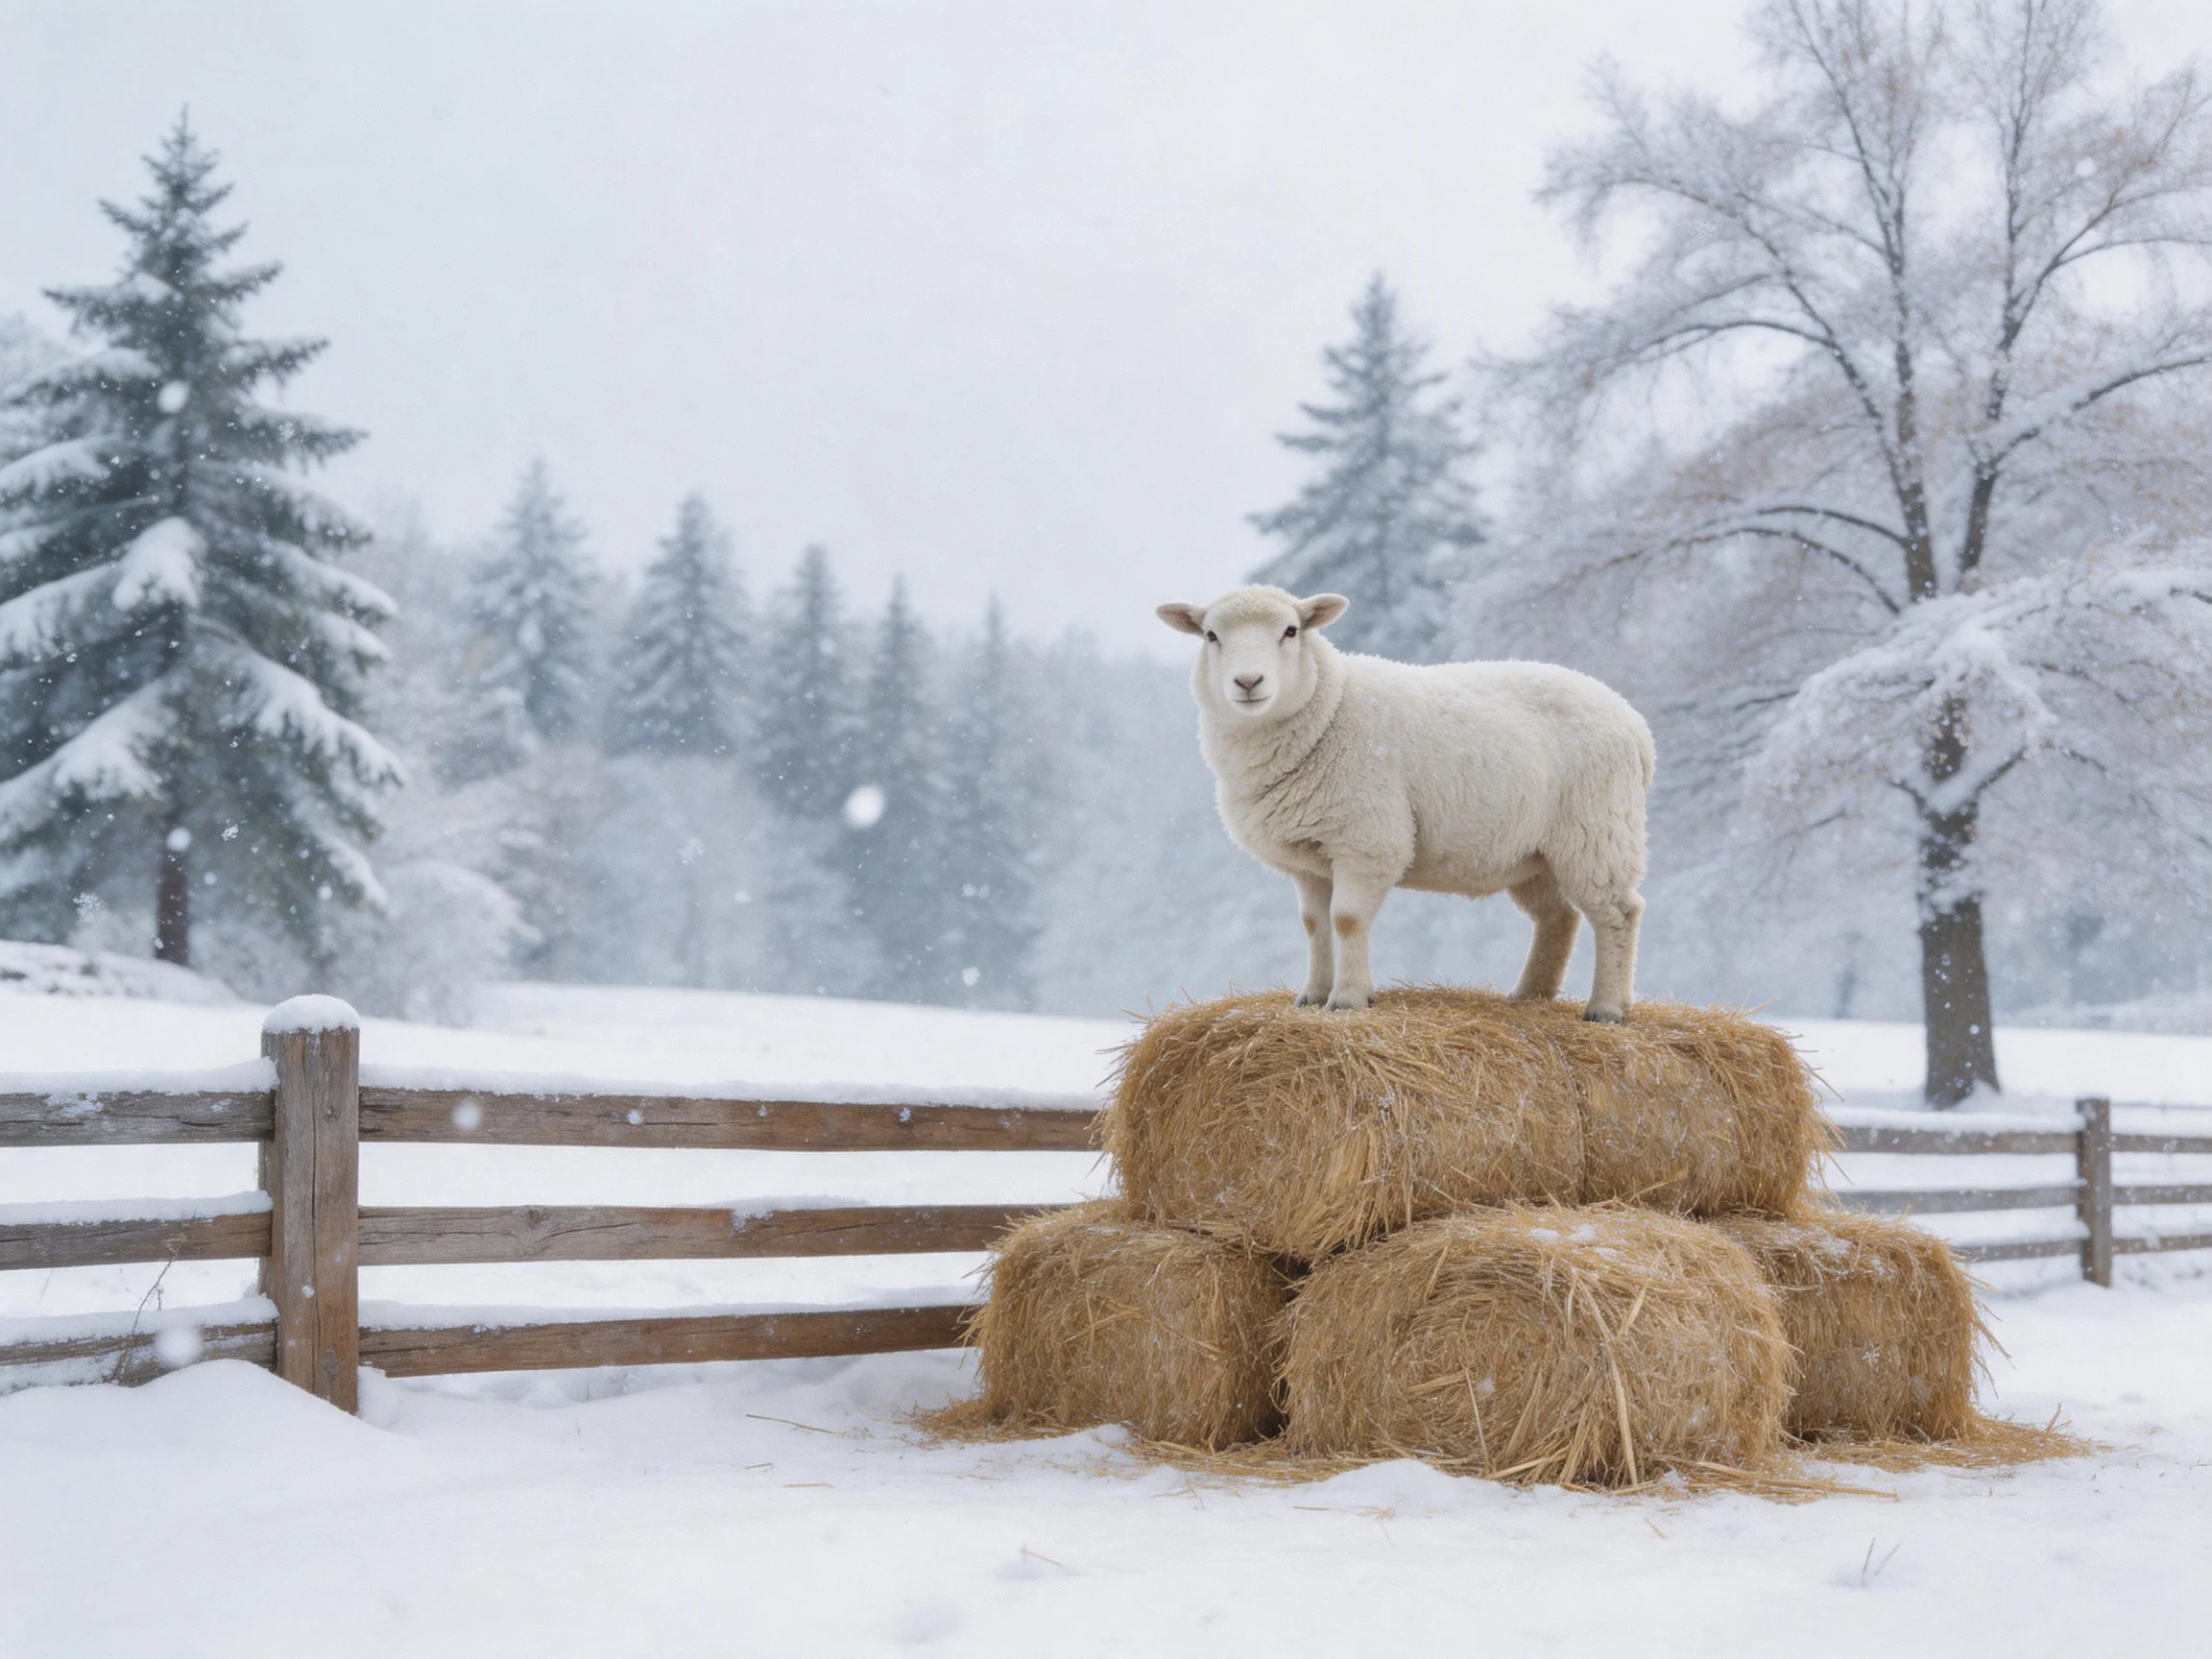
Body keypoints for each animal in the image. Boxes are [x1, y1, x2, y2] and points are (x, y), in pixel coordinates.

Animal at [1156, 584, 1654, 1021]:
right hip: (1534, 854)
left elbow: (1347, 920)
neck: (1328, 708)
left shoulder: (1367, 840)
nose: (1248, 681)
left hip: (1597, 829)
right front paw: (1313, 996)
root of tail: (1634, 722)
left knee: (1618, 913)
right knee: (1558, 917)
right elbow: (1315, 925)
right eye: (1211, 635)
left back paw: (1608, 1008)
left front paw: (1348, 999)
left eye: (1291, 630)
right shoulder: (1309, 858)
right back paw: (1530, 994)